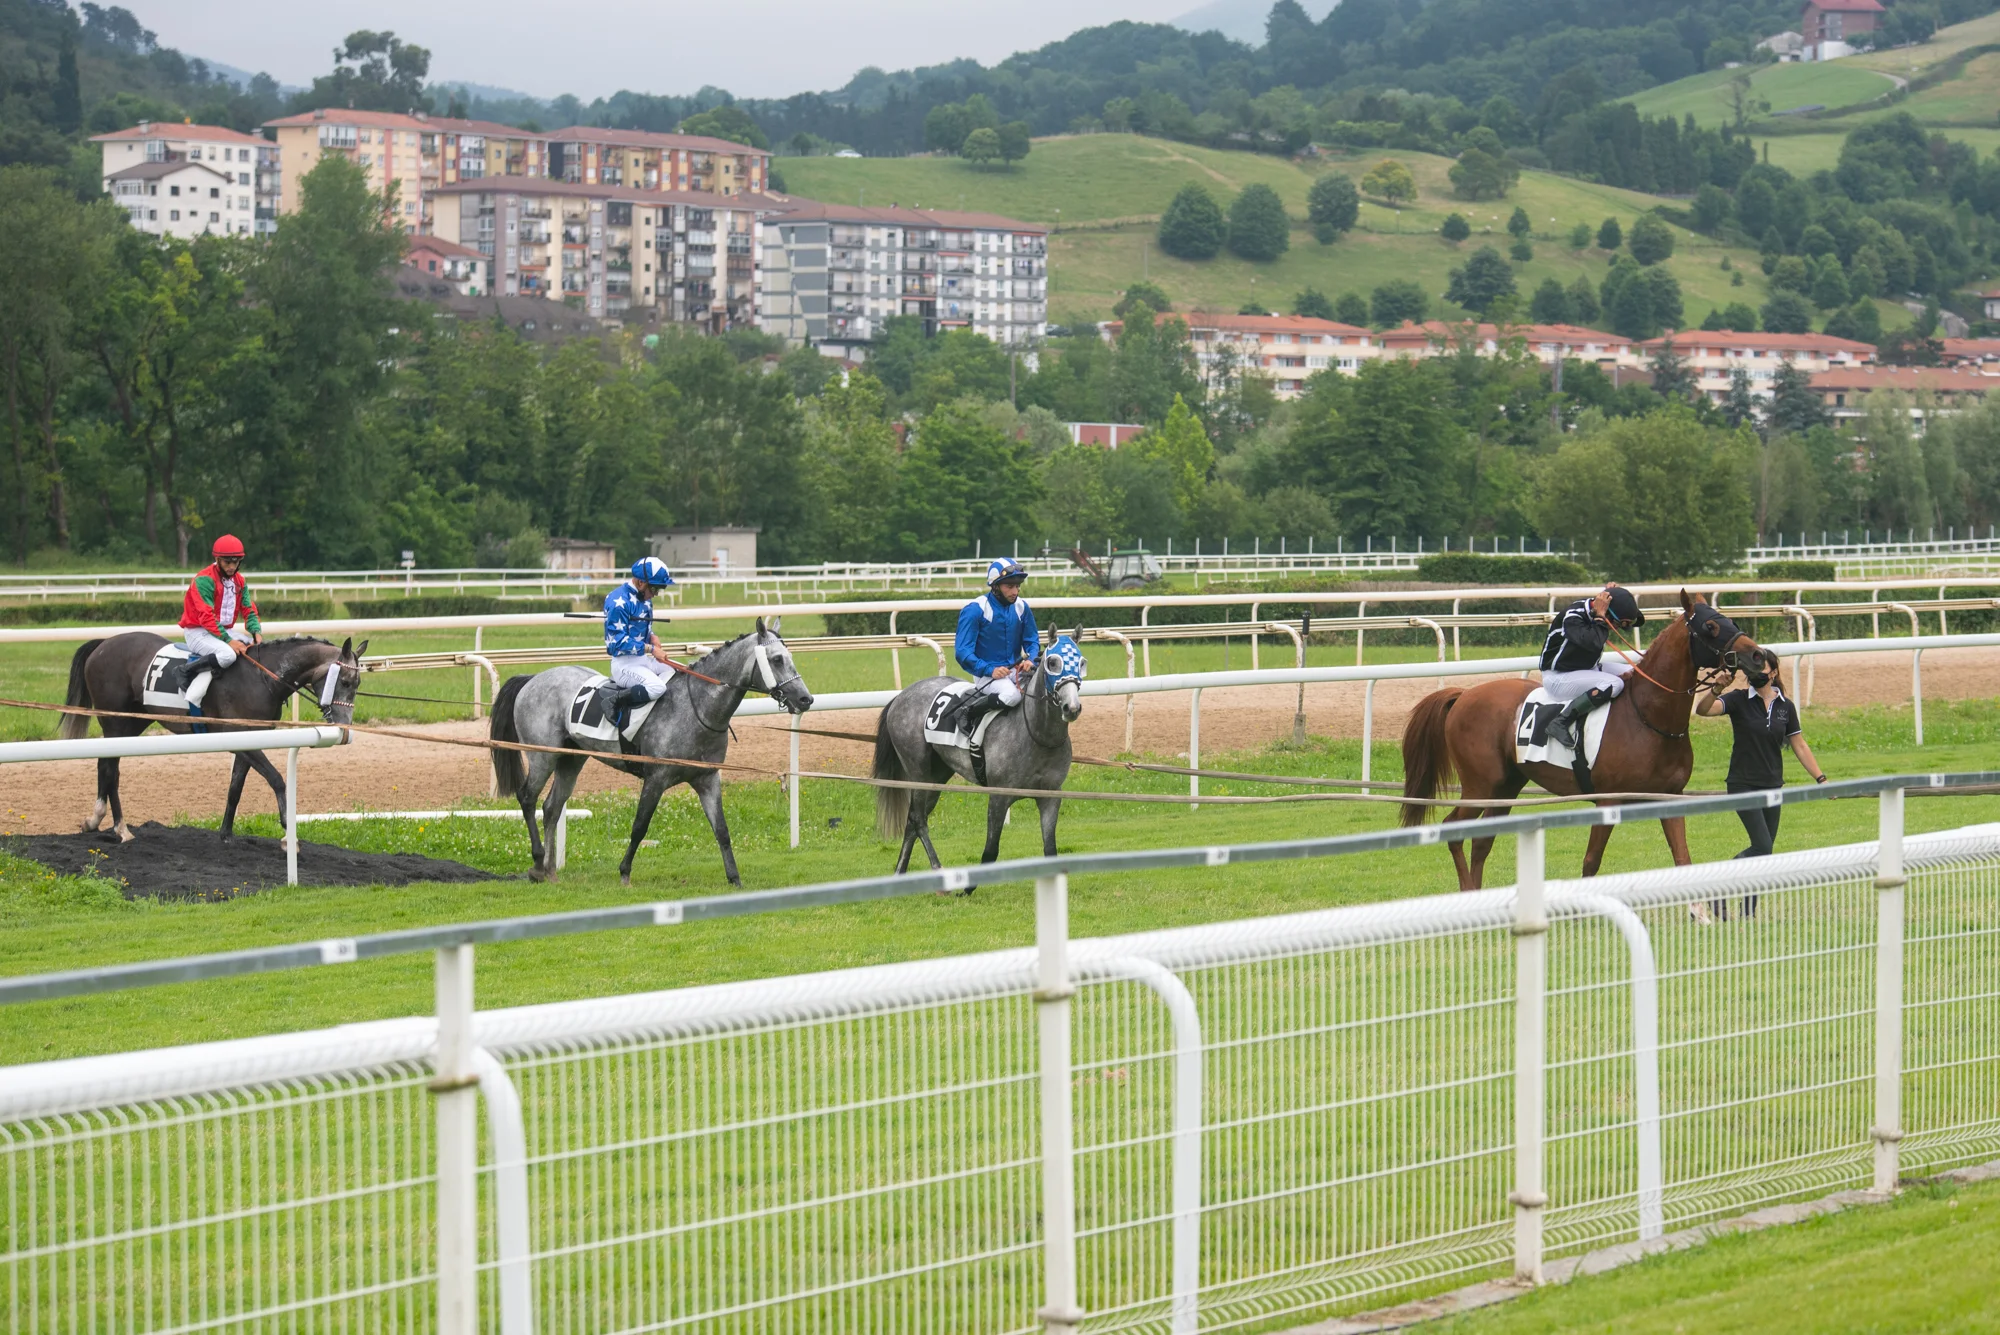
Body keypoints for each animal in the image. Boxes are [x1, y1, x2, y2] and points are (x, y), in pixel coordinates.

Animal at [57, 633, 366, 842]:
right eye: (345, 681)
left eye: (358, 683)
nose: (345, 726)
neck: (260, 678)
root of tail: (104, 643)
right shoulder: (242, 737)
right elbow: (277, 779)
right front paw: (288, 829)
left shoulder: (248, 742)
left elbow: (235, 788)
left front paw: (226, 834)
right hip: (115, 721)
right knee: (111, 769)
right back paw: (121, 829)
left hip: (132, 722)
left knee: (105, 764)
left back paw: (95, 820)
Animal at [487, 620, 813, 886]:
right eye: (777, 659)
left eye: (791, 658)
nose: (805, 699)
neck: (696, 708)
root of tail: (532, 678)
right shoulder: (656, 778)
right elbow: (640, 826)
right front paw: (624, 872)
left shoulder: (708, 779)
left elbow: (721, 829)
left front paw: (734, 878)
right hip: (542, 755)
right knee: (528, 798)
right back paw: (537, 864)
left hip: (571, 758)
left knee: (552, 807)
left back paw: (550, 871)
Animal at [871, 635, 1086, 874]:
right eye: (1052, 662)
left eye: (1081, 662)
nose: (1071, 707)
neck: (1038, 735)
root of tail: (901, 695)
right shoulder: (998, 797)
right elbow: (990, 851)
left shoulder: (1051, 796)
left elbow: (1050, 850)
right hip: (918, 772)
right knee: (918, 818)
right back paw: (937, 867)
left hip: (937, 776)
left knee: (913, 819)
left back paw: (901, 871)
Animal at [1399, 591, 1759, 890]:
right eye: (1710, 625)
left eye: (1730, 620)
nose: (1758, 656)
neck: (1648, 716)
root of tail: (1463, 694)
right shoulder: (1609, 802)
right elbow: (1591, 862)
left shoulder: (1668, 797)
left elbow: (1683, 858)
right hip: (1480, 786)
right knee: (1454, 831)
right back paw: (1468, 889)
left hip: (1506, 786)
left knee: (1482, 840)